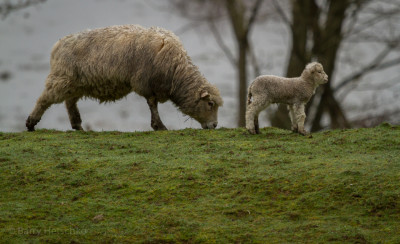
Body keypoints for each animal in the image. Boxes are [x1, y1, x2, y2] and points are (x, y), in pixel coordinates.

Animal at [26, 24, 223, 132]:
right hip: (63, 77)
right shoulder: (146, 83)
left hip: (76, 82)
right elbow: (152, 104)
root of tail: (58, 45)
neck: (176, 70)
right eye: (210, 104)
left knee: (70, 102)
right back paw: (31, 122)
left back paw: (78, 126)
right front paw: (159, 126)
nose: (214, 125)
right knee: (45, 99)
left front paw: (157, 125)